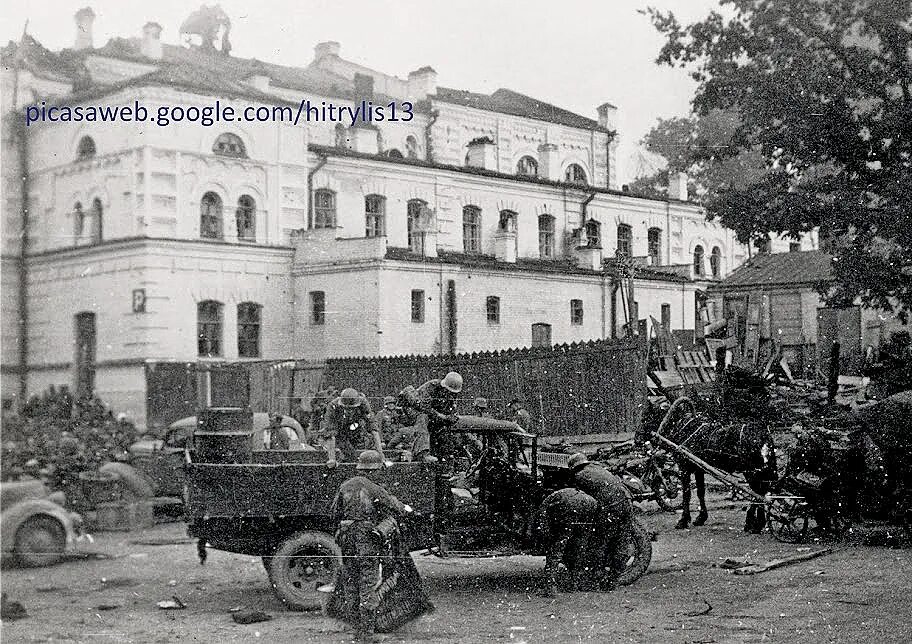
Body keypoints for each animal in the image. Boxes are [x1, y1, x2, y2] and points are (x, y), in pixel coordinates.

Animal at [656, 398, 776, 532]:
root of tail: (764, 437)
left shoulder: (684, 466)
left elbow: (687, 494)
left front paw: (683, 520)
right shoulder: (699, 468)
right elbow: (700, 492)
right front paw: (701, 518)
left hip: (751, 472)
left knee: (757, 493)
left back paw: (752, 523)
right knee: (762, 492)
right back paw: (758, 523)